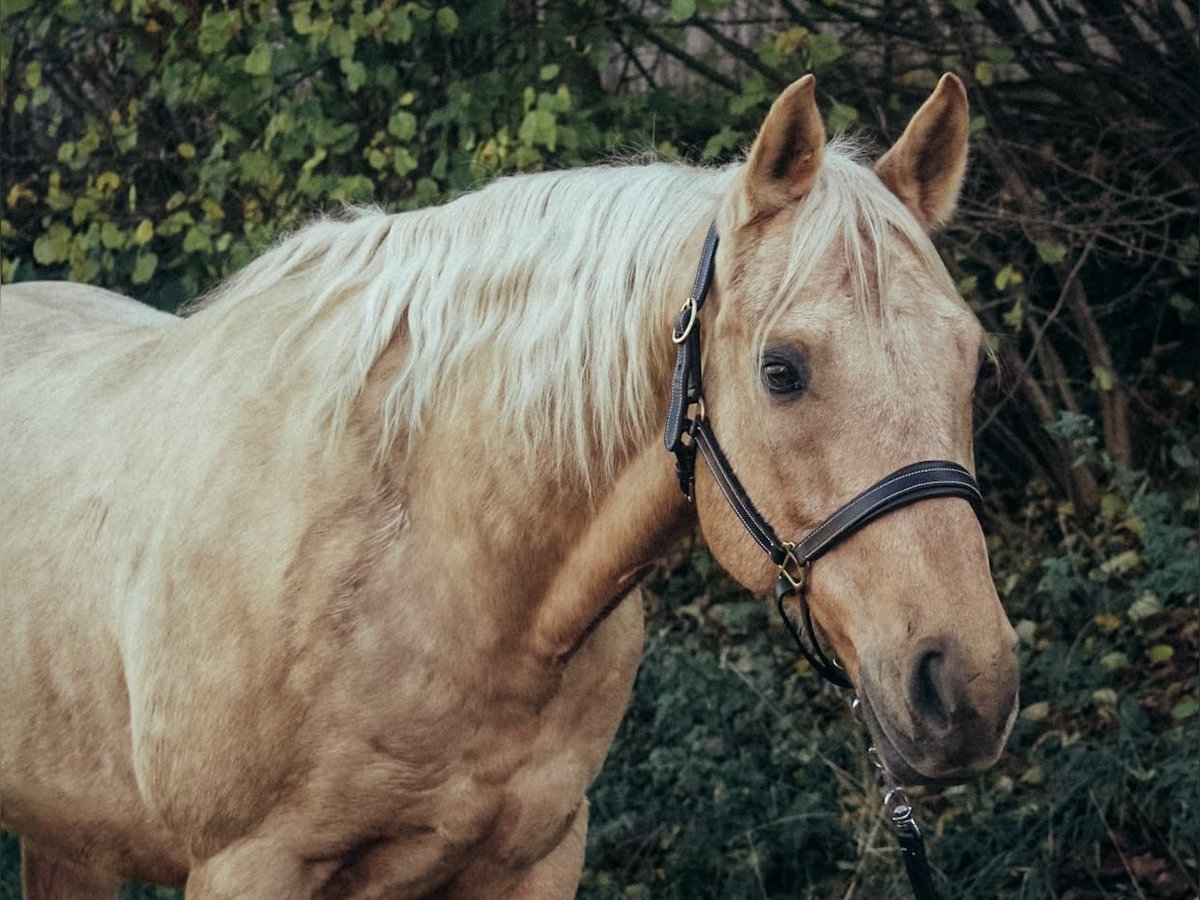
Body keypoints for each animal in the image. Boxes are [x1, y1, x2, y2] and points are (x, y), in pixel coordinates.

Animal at [0, 74, 1017, 897]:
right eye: (782, 370)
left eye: (975, 363)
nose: (969, 687)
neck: (441, 568)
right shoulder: (246, 868)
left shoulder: (536, 857)